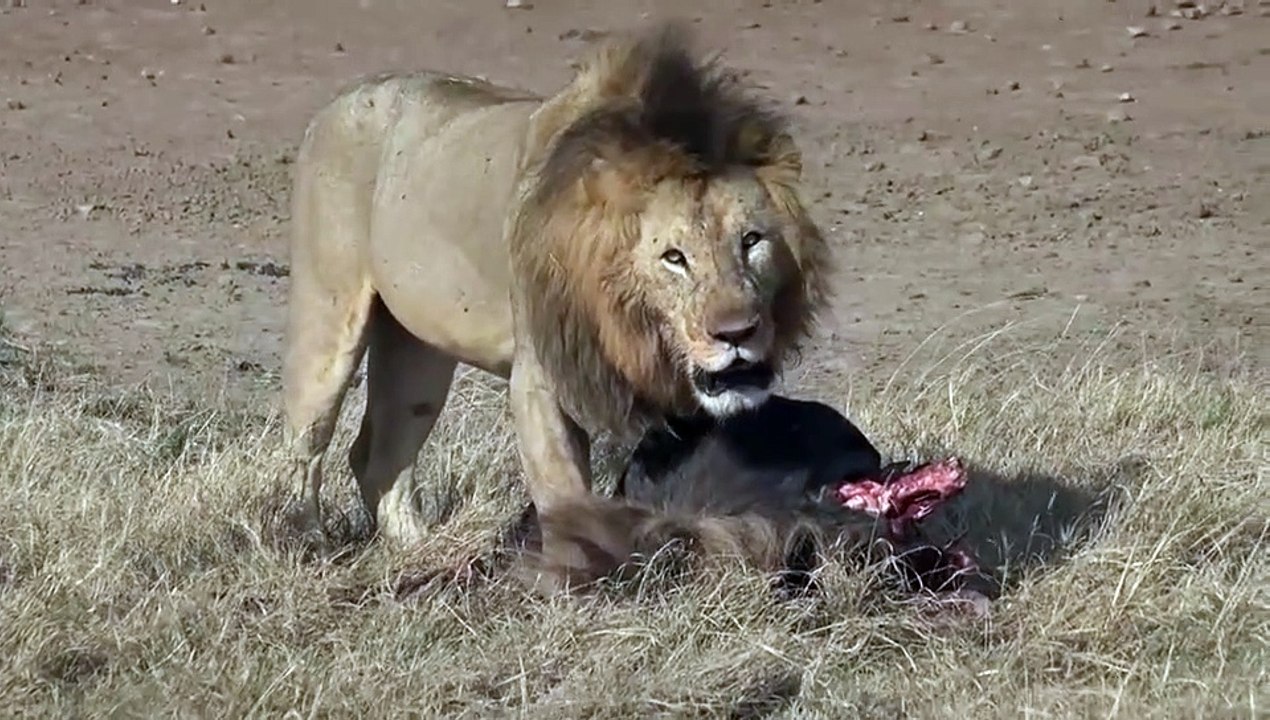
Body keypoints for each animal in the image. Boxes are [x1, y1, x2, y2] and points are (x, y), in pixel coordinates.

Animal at [280, 23, 832, 548]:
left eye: (751, 241)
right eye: (674, 258)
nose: (736, 334)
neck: (629, 326)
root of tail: (337, 101)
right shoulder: (539, 376)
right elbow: (565, 495)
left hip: (418, 350)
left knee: (379, 454)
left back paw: (418, 549)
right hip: (328, 315)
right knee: (306, 438)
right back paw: (309, 542)